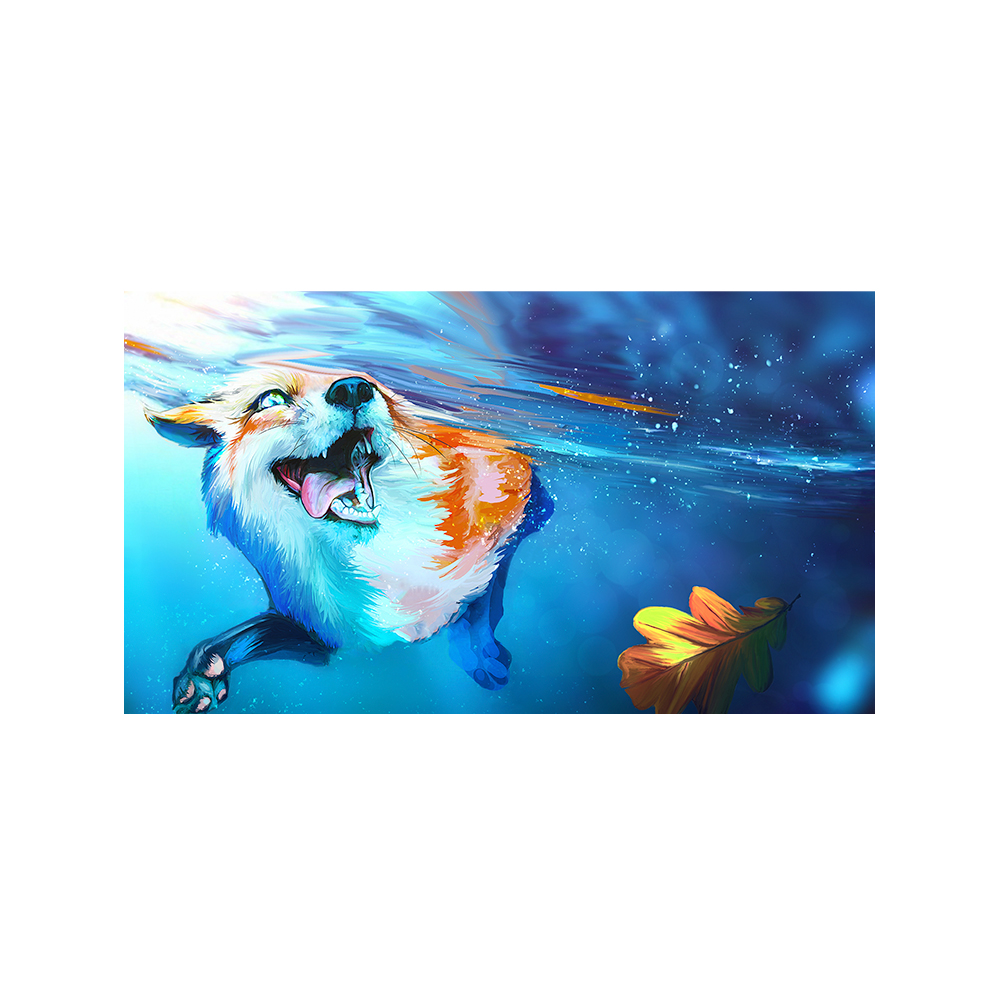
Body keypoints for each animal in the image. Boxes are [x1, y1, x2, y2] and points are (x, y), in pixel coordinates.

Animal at [147, 366, 553, 713]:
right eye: (271, 399)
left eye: (374, 386)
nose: (353, 388)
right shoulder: (316, 633)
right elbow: (238, 637)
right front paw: (204, 673)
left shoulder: (495, 540)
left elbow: (483, 607)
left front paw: (479, 654)